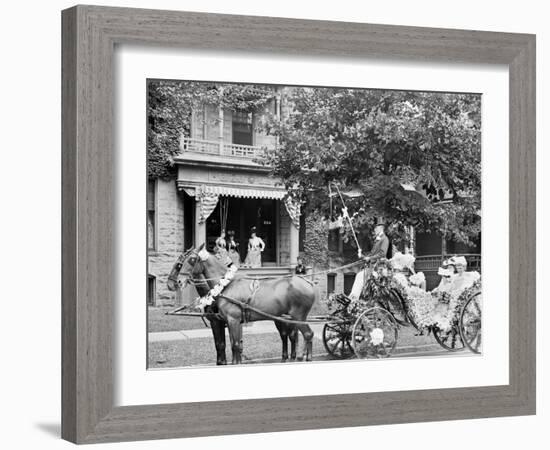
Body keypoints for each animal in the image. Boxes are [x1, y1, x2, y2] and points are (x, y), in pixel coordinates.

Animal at [168, 246, 316, 366]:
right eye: (181, 263)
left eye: (192, 260)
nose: (177, 282)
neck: (226, 285)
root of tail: (307, 283)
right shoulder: (228, 321)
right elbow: (231, 344)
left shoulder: (231, 320)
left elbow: (234, 345)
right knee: (294, 335)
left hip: (298, 316)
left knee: (306, 334)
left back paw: (304, 357)